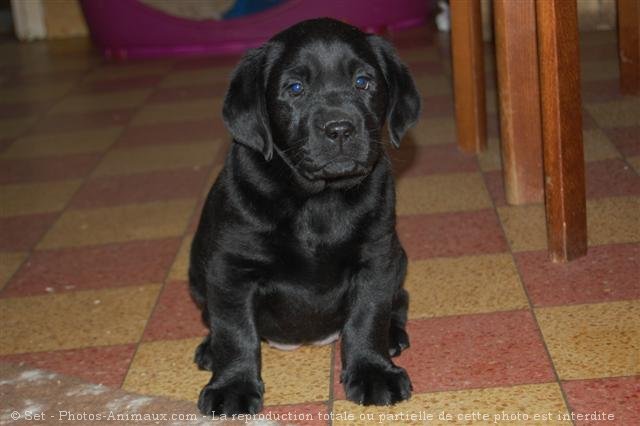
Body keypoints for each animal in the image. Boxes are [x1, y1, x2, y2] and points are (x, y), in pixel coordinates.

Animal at [189, 17, 420, 416]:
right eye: (295, 88)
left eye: (363, 81)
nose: (340, 129)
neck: (318, 200)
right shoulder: (230, 268)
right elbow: (235, 331)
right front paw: (232, 386)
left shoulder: (377, 259)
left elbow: (368, 316)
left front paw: (373, 372)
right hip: (197, 272)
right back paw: (209, 349)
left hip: (399, 258)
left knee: (399, 300)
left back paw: (393, 335)